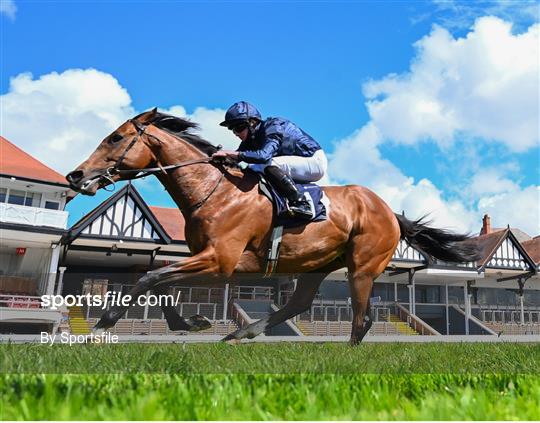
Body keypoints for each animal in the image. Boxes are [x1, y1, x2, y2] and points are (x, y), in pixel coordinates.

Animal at [66, 109, 476, 344]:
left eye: (116, 138)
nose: (76, 175)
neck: (216, 191)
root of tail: (389, 211)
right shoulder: (208, 259)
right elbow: (160, 280)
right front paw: (191, 322)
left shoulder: (220, 261)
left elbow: (151, 278)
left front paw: (106, 320)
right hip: (316, 265)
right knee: (300, 302)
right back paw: (242, 332)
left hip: (361, 267)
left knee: (362, 318)